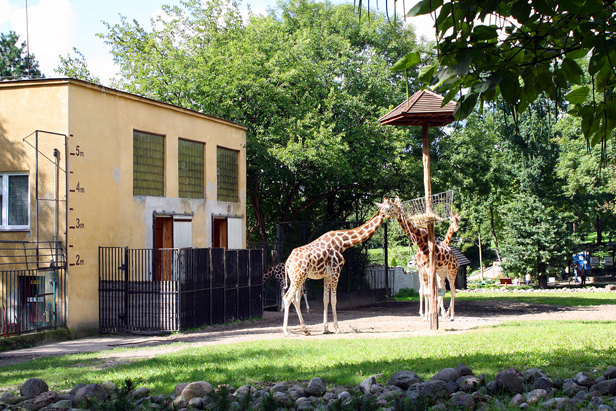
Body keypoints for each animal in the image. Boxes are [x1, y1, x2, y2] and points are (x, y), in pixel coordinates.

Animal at [282, 198, 400, 336]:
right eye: (391, 205)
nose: (399, 209)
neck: (343, 243)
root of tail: (288, 261)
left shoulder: (327, 275)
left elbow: (325, 299)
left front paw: (326, 329)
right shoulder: (336, 271)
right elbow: (334, 300)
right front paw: (338, 329)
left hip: (298, 277)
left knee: (295, 299)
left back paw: (305, 330)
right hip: (298, 276)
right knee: (287, 297)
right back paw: (286, 331)